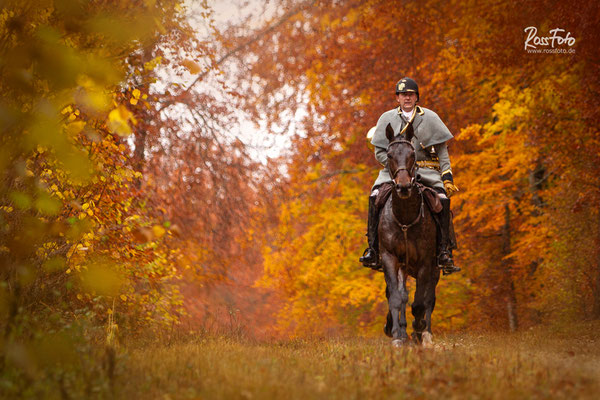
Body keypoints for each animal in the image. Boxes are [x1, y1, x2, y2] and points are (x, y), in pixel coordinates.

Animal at [382, 122, 438, 346]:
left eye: (412, 153)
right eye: (389, 155)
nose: (404, 186)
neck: (405, 217)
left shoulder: (425, 262)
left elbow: (420, 302)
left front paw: (419, 328)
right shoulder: (390, 258)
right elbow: (397, 297)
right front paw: (397, 334)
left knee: (429, 299)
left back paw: (426, 332)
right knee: (403, 294)